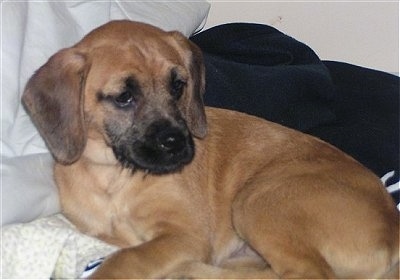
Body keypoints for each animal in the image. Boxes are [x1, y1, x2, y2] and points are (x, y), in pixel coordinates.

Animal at [23, 19, 398, 278]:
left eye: (178, 85)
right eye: (124, 97)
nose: (179, 145)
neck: (114, 177)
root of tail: (392, 235)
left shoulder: (185, 235)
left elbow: (127, 259)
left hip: (259, 200)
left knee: (306, 274)